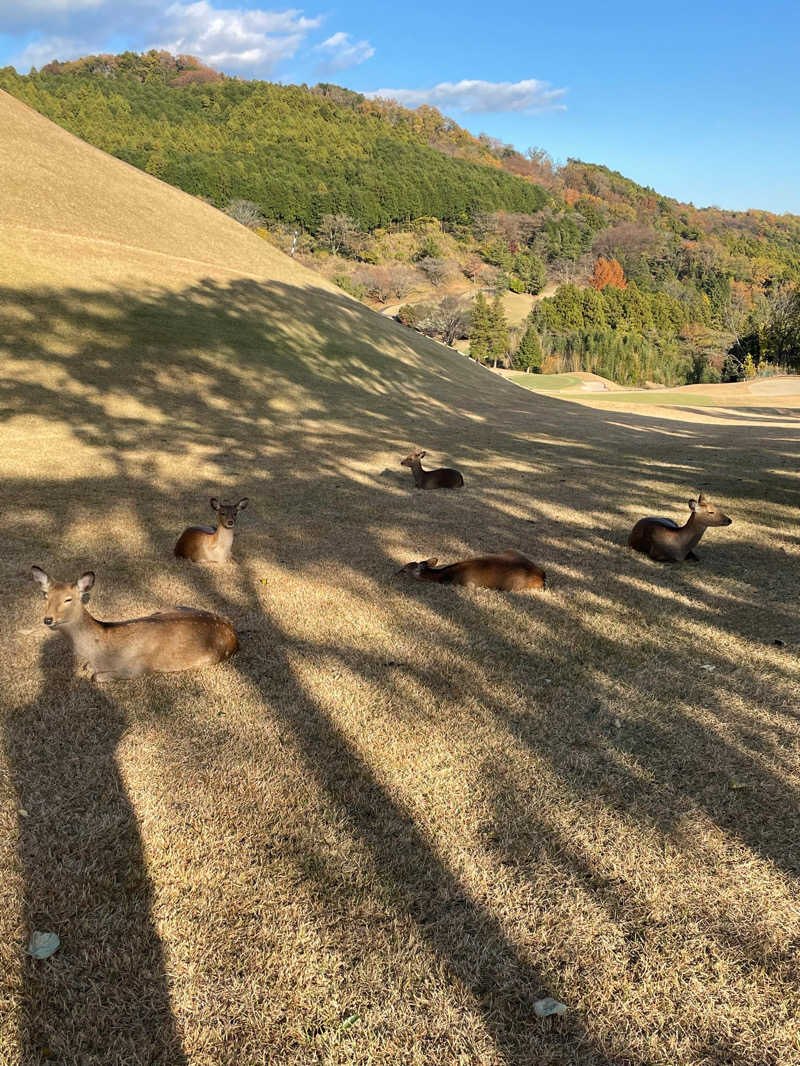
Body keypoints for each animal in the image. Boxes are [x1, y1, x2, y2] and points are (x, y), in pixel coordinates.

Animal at [28, 567, 241, 682]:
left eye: (68, 599)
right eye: (45, 595)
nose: (48, 619)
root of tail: (233, 633)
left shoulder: (138, 668)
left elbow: (95, 676)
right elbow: (87, 668)